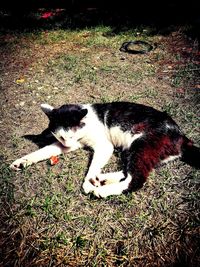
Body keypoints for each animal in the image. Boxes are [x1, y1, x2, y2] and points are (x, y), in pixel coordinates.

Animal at [10, 101, 199, 198]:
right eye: (62, 137)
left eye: (71, 135)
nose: (67, 145)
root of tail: (182, 137)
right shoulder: (72, 144)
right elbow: (44, 151)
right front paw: (21, 162)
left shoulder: (104, 146)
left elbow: (93, 165)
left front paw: (87, 182)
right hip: (130, 149)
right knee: (127, 171)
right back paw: (102, 179)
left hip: (142, 143)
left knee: (136, 178)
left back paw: (101, 189)